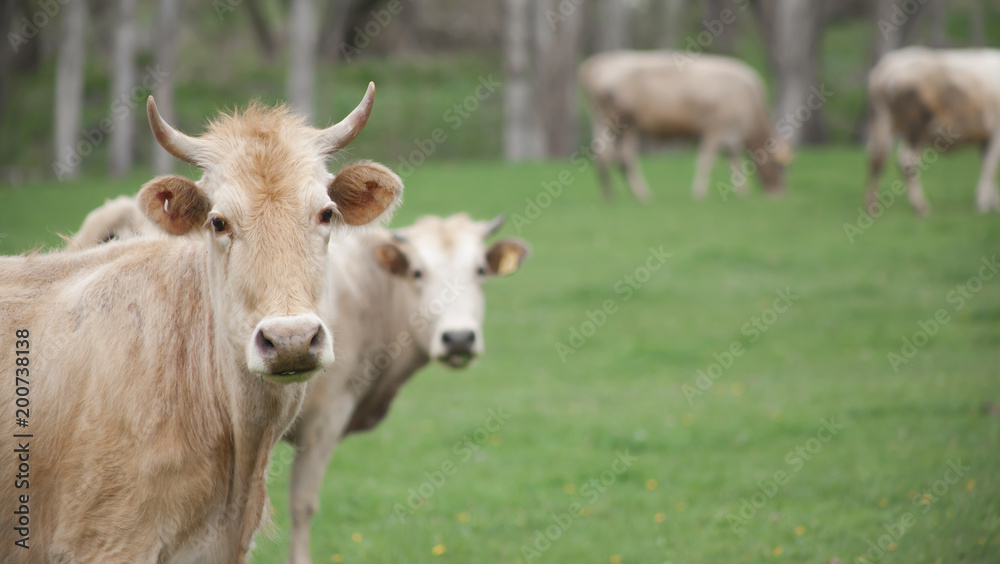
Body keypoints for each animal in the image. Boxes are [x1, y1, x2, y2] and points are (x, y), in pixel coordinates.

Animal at [576, 49, 792, 202]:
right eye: (780, 166)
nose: (778, 194)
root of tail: (601, 60)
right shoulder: (714, 129)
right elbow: (706, 161)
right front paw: (699, 194)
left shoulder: (731, 136)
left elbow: (735, 163)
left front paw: (742, 193)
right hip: (625, 124)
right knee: (624, 157)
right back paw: (642, 194)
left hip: (603, 121)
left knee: (604, 156)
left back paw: (610, 195)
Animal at [864, 45, 1000, 214]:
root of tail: (889, 63)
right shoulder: (995, 133)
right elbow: (989, 167)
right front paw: (983, 205)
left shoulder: (986, 138)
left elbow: (987, 166)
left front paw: (993, 203)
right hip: (916, 131)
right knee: (906, 161)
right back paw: (920, 206)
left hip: (885, 126)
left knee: (876, 159)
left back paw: (872, 204)